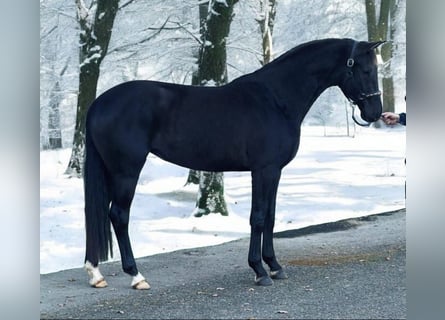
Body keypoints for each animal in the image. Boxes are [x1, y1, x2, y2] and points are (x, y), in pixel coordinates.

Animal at [85, 38, 384, 288]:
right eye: (366, 70)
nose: (375, 113)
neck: (276, 99)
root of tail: (99, 103)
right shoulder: (263, 170)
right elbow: (258, 217)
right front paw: (260, 271)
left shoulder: (275, 172)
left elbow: (271, 217)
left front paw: (274, 266)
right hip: (126, 171)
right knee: (119, 215)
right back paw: (136, 276)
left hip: (111, 171)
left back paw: (96, 273)